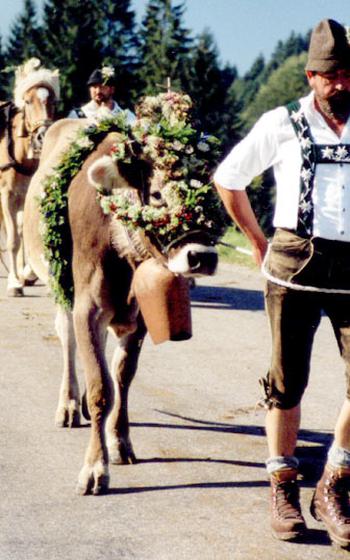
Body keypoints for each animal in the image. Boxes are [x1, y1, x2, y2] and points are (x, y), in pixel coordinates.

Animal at [23, 92, 227, 494]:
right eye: (159, 194)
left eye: (209, 198)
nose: (203, 256)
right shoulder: (87, 307)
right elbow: (101, 387)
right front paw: (94, 468)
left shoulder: (140, 318)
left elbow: (121, 377)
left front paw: (119, 442)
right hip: (60, 287)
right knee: (68, 339)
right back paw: (69, 404)